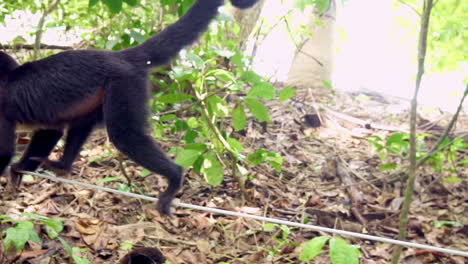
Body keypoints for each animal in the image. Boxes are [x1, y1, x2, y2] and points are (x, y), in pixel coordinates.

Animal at [0, 0, 258, 216]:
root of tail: (121, 56)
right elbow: (51, 130)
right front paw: (19, 170)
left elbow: (5, 152)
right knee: (83, 122)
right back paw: (62, 166)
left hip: (124, 84)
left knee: (125, 136)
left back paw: (175, 176)